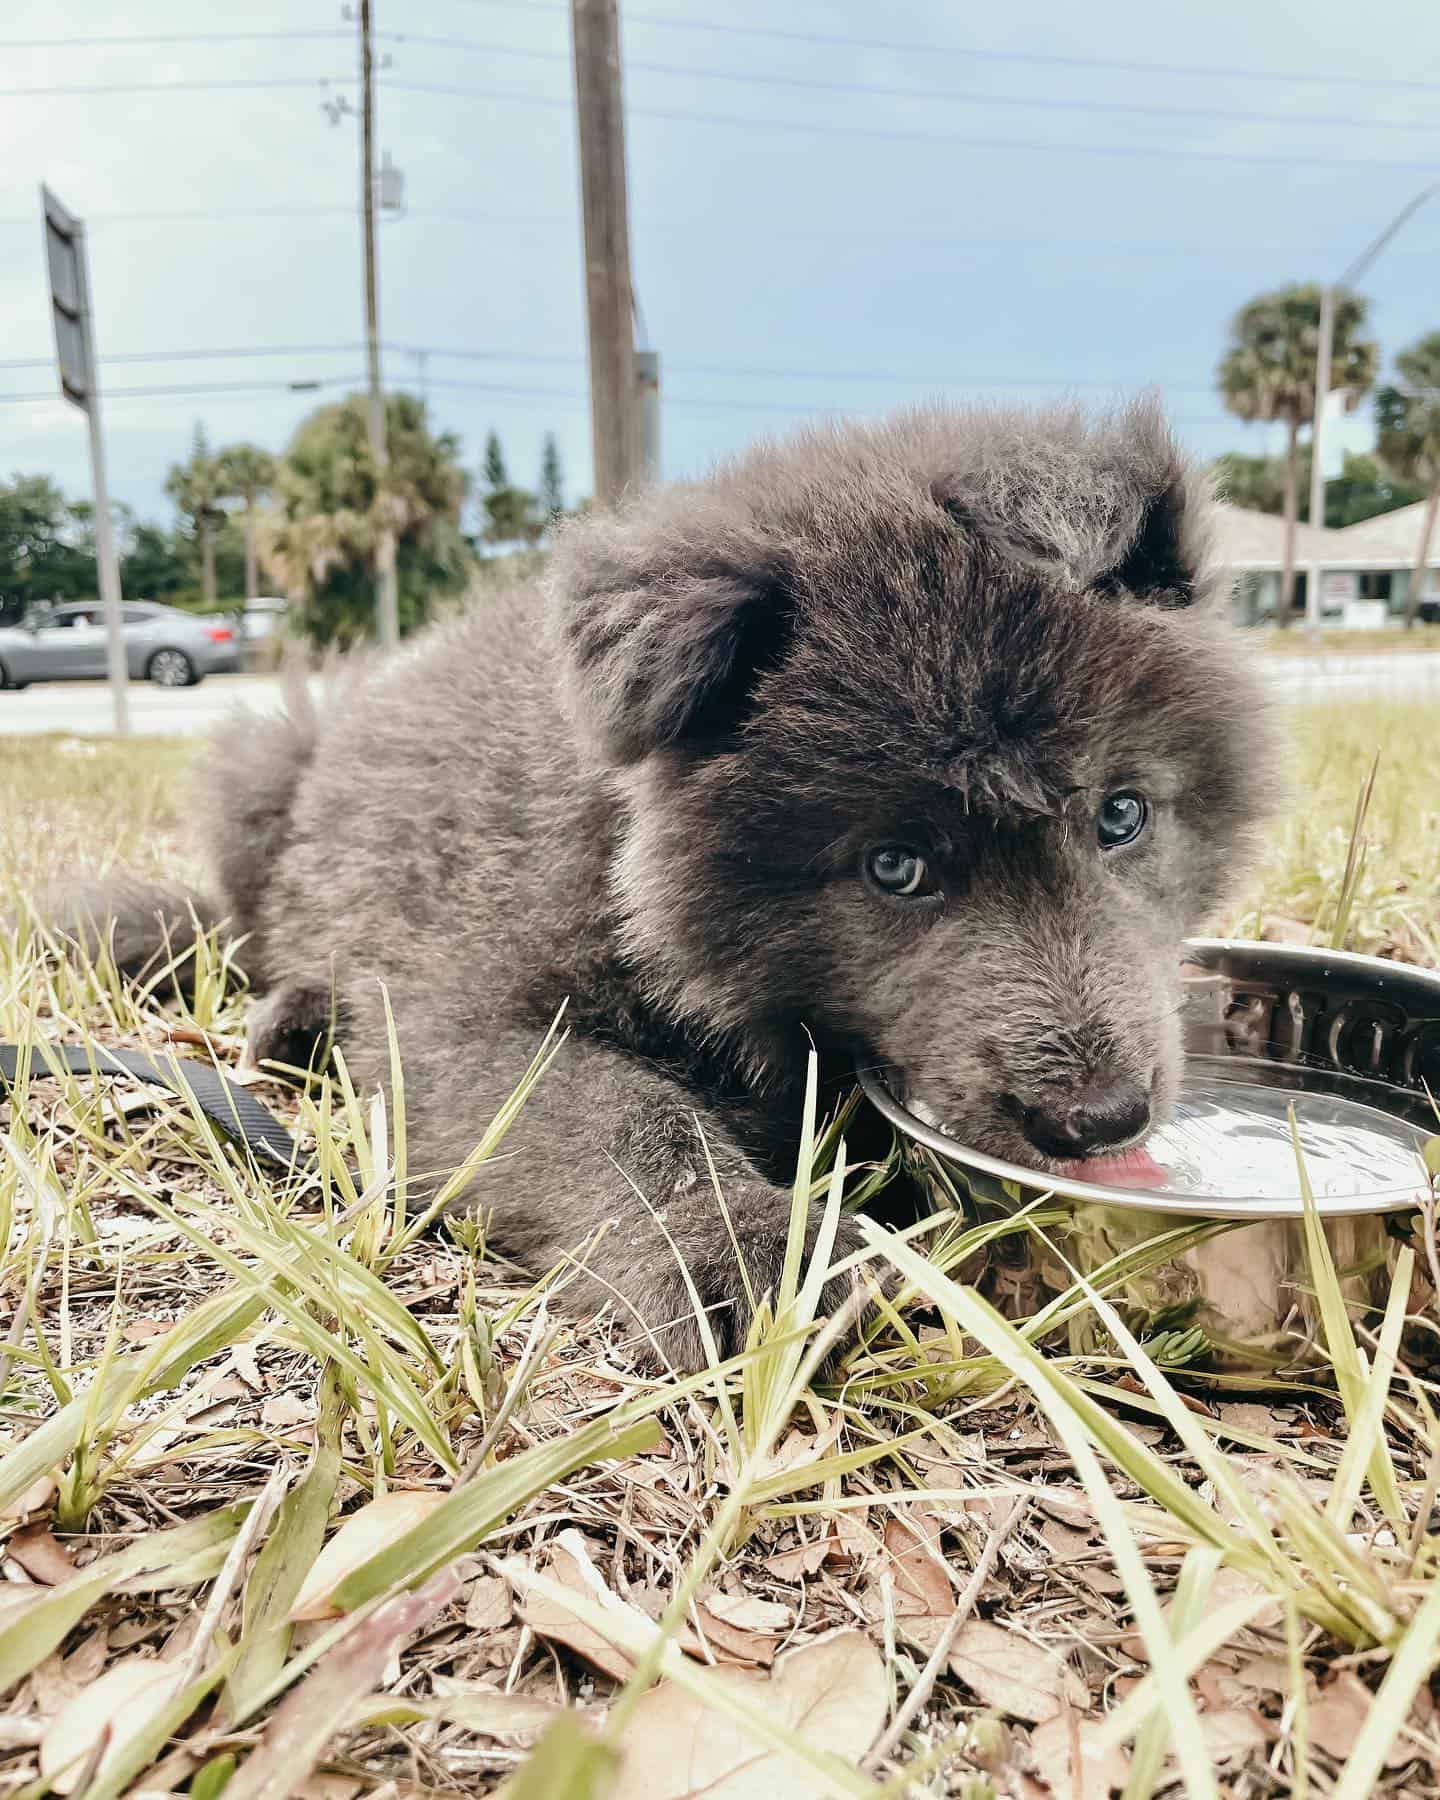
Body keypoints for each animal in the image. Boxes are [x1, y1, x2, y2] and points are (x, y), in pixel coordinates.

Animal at [64, 401, 1274, 1360]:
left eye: (1121, 816)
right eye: (895, 868)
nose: (1100, 1120)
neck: (617, 852)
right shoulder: (464, 1016)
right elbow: (622, 1114)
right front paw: (739, 1248)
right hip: (260, 774)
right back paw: (295, 1016)